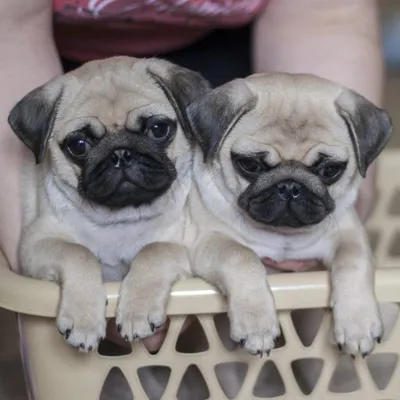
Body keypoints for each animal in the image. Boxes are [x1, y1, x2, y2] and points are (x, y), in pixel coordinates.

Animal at [8, 55, 209, 350]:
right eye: (79, 145)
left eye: (158, 130)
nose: (121, 154)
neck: (120, 217)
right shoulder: (36, 244)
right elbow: (79, 253)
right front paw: (83, 319)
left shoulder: (182, 246)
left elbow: (154, 250)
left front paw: (138, 310)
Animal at [186, 69, 392, 360]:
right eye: (250, 165)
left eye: (330, 170)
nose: (290, 186)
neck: (283, 235)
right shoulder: (209, 240)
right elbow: (241, 256)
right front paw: (257, 324)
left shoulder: (350, 234)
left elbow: (353, 262)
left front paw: (357, 324)